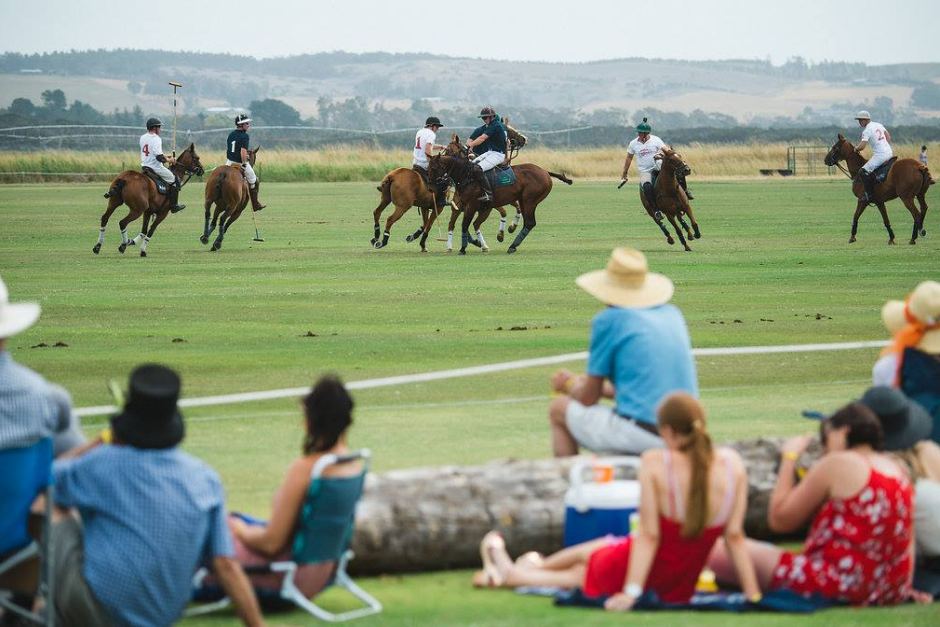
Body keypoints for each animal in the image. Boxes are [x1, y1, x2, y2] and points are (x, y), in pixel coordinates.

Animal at [428, 144, 572, 255]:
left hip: (529, 201)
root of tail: (545, 172)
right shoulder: (464, 205)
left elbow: (465, 225)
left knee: (530, 222)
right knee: (527, 222)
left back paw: (512, 246)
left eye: (434, 168)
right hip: (523, 200)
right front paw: (472, 244)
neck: (466, 176)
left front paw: (463, 248)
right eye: (428, 168)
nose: (430, 187)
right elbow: (465, 225)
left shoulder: (472, 205)